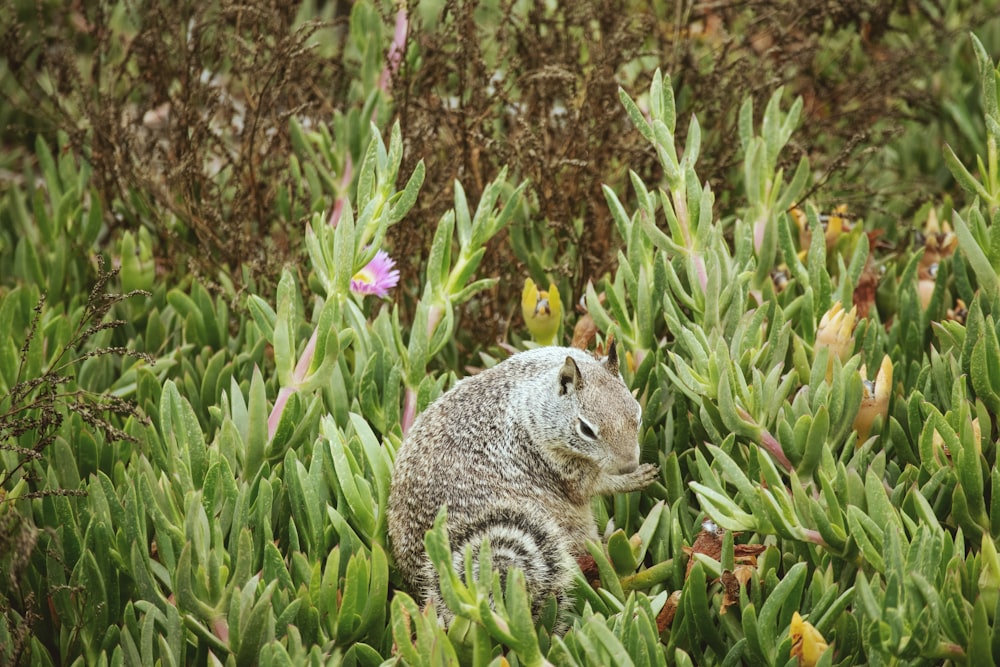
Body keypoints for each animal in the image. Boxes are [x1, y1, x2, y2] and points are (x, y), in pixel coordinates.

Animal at [386, 344, 660, 628]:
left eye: (638, 417)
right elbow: (592, 484)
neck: (533, 399)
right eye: (586, 429)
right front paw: (633, 478)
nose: (628, 465)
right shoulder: (560, 465)